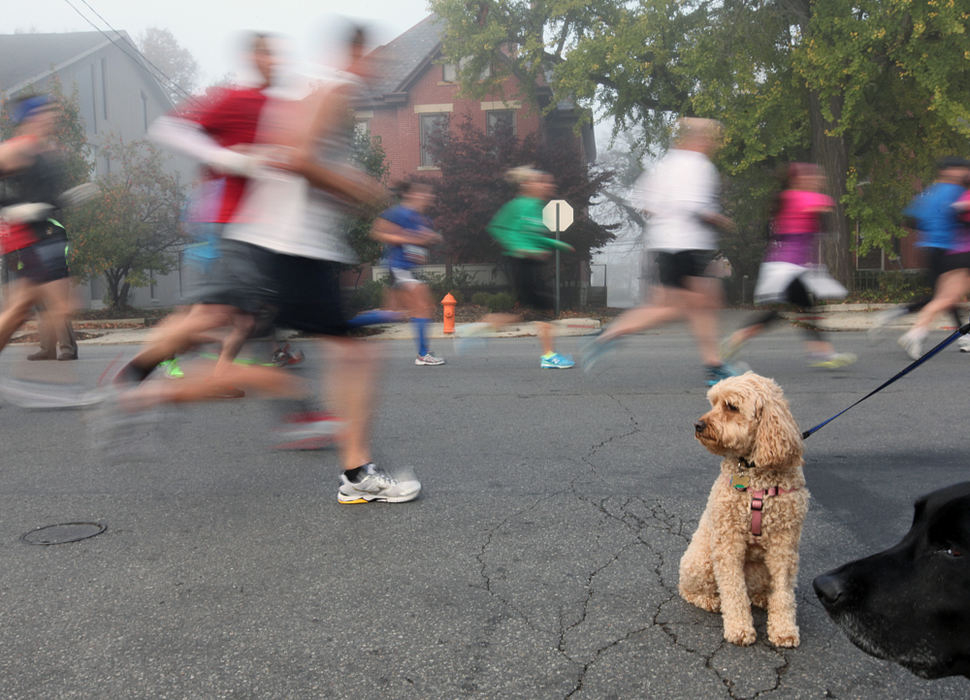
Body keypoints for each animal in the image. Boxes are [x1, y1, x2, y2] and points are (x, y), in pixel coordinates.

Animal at [676, 370, 804, 648]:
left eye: (731, 407)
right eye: (713, 402)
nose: (698, 425)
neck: (754, 471)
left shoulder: (784, 544)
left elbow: (784, 592)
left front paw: (784, 630)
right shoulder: (728, 541)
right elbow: (733, 590)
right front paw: (740, 629)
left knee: (756, 591)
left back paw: (762, 598)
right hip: (701, 561)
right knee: (690, 590)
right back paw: (711, 600)